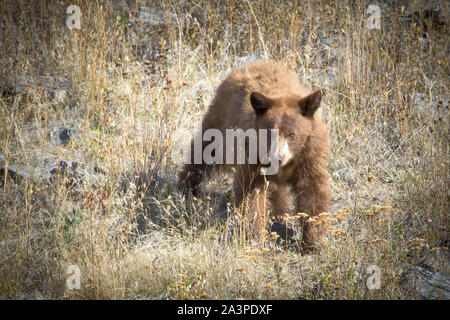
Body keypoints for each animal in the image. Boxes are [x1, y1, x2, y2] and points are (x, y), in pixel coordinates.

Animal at [178, 59, 330, 250]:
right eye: (269, 132)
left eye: (292, 134)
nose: (277, 158)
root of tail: (254, 62)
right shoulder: (253, 155)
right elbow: (251, 193)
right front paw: (255, 237)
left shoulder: (309, 157)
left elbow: (313, 191)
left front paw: (311, 241)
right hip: (219, 123)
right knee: (204, 152)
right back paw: (186, 187)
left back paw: (279, 213)